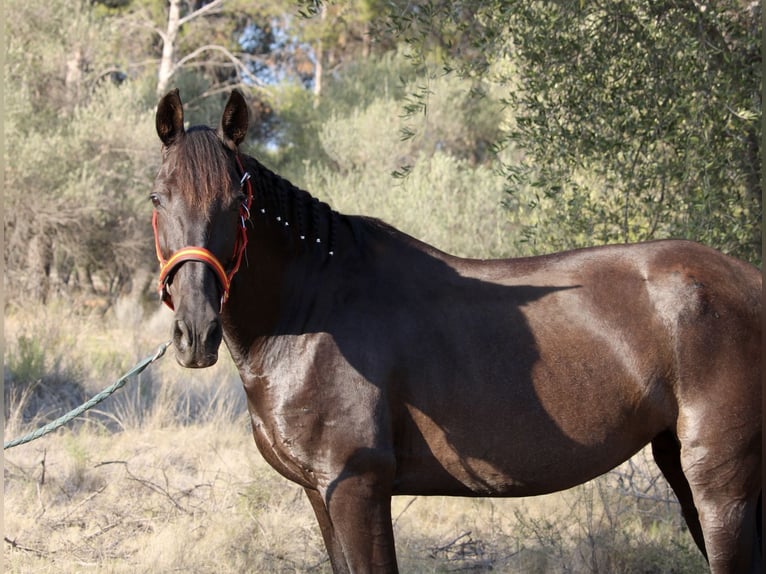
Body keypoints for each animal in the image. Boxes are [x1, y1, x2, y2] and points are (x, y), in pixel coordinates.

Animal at [150, 90, 760, 574]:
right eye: (158, 198)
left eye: (238, 203)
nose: (196, 332)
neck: (312, 314)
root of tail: (747, 278)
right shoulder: (321, 494)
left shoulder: (357, 488)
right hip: (680, 463)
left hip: (719, 483)